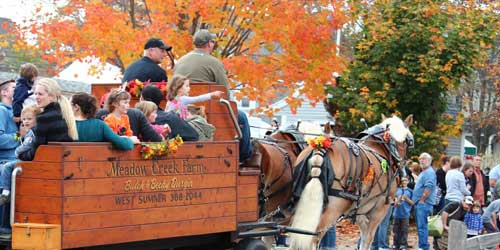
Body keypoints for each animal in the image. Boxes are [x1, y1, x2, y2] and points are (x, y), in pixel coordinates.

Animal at [288, 114, 412, 250]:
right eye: (409, 141)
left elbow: (363, 238)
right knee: (314, 236)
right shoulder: (379, 210)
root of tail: (320, 146)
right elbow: (368, 239)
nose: (405, 173)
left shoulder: (360, 212)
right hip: (334, 208)